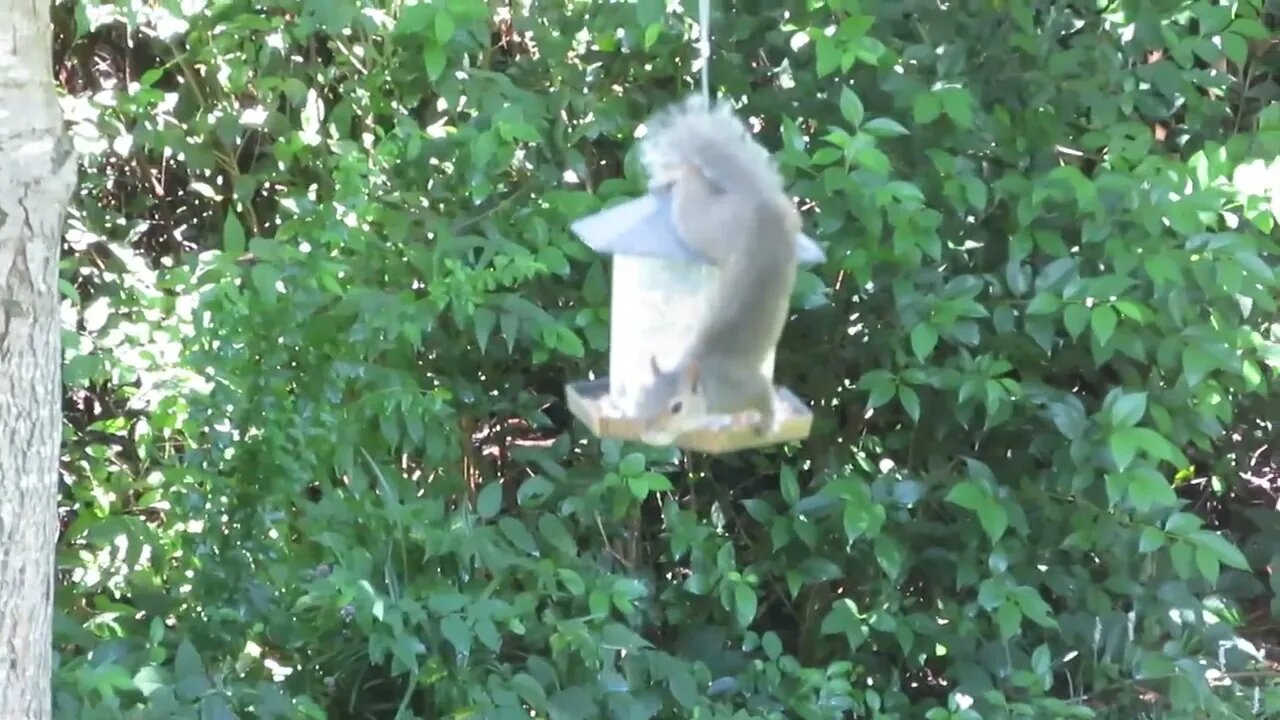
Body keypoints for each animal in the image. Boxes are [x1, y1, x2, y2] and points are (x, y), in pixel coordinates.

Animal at [632, 96, 798, 443]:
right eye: (643, 397)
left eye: (677, 407)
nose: (648, 433)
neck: (707, 386)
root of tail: (757, 199)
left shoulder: (745, 390)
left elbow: (765, 398)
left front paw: (767, 423)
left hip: (703, 224)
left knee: (692, 191)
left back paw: (679, 177)